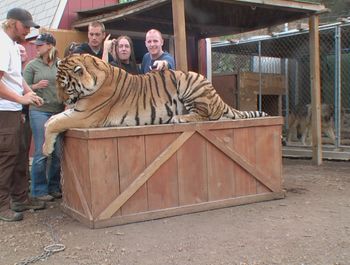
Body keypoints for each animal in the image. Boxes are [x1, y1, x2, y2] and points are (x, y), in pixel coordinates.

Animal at [43, 54, 268, 156]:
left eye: (65, 86)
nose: (61, 101)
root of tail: (217, 96)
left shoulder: (85, 115)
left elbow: (53, 123)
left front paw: (46, 150)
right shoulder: (78, 111)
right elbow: (53, 120)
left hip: (189, 82)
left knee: (206, 115)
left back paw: (180, 118)